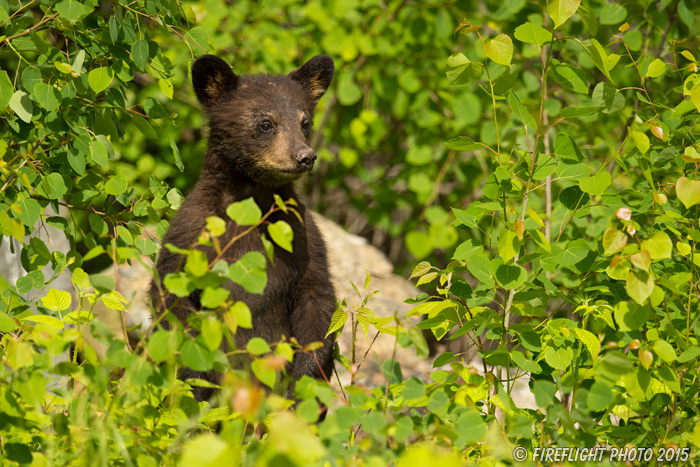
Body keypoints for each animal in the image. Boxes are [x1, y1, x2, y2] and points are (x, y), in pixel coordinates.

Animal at [151, 53, 340, 404]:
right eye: (266, 123)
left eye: (304, 122)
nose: (305, 156)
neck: (252, 204)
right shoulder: (191, 232)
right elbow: (171, 297)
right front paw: (199, 379)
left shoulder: (303, 235)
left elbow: (317, 299)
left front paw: (299, 386)